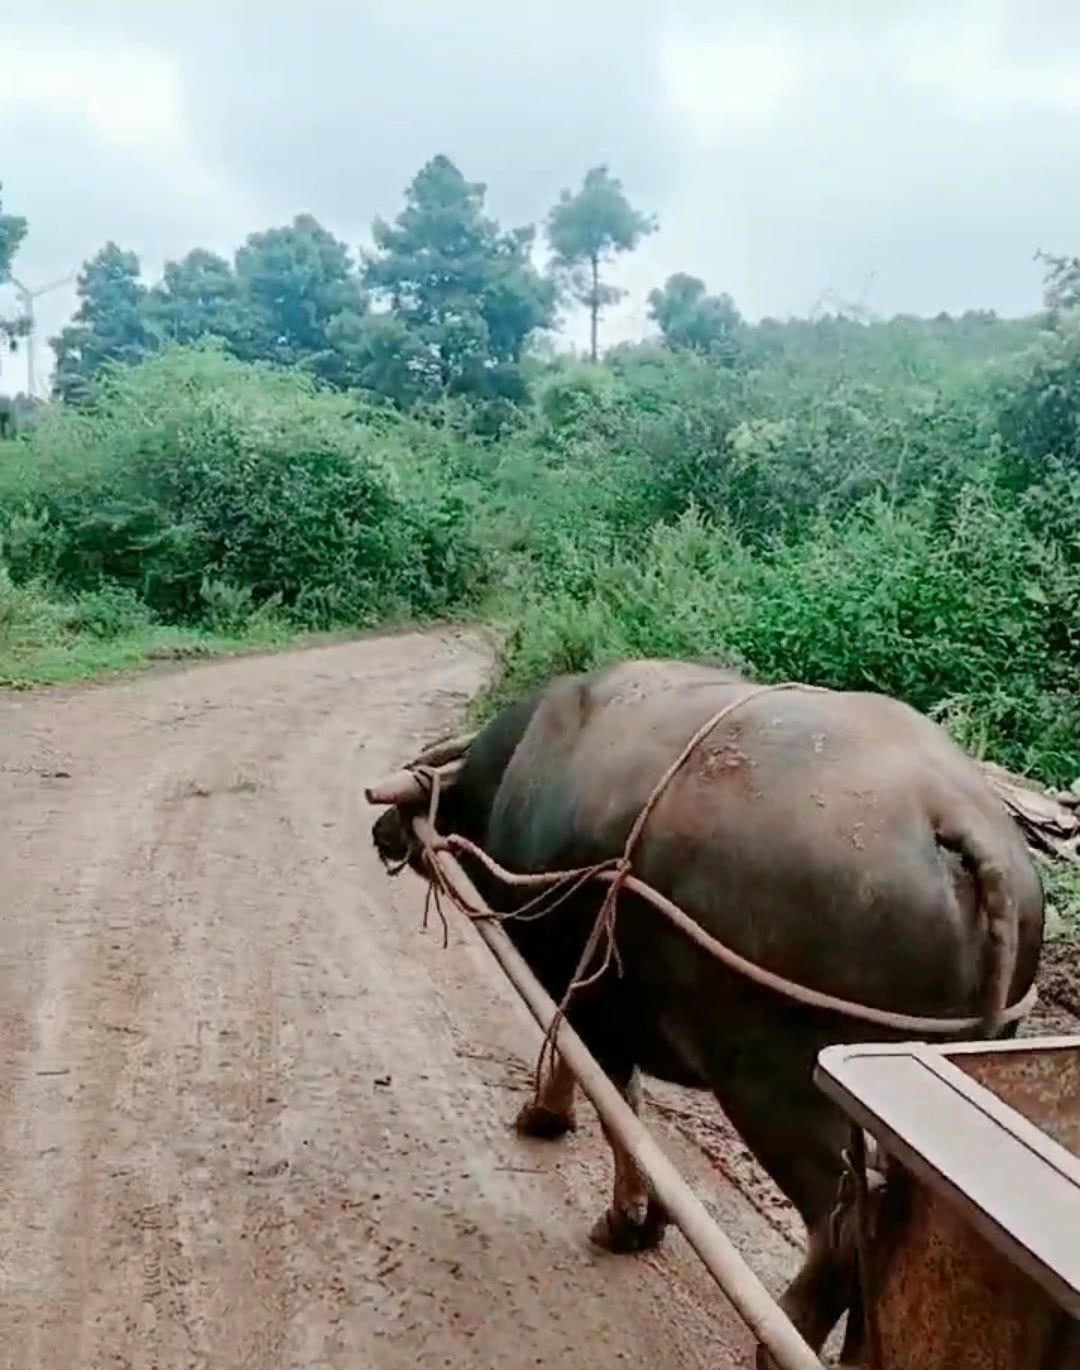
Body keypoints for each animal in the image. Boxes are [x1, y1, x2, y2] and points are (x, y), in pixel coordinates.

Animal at [370, 657, 1036, 1364]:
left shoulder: (581, 991)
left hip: (779, 1084)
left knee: (848, 1220)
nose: (384, 830)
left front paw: (618, 1211)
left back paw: (780, 1338)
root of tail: (954, 819)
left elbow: (613, 1099)